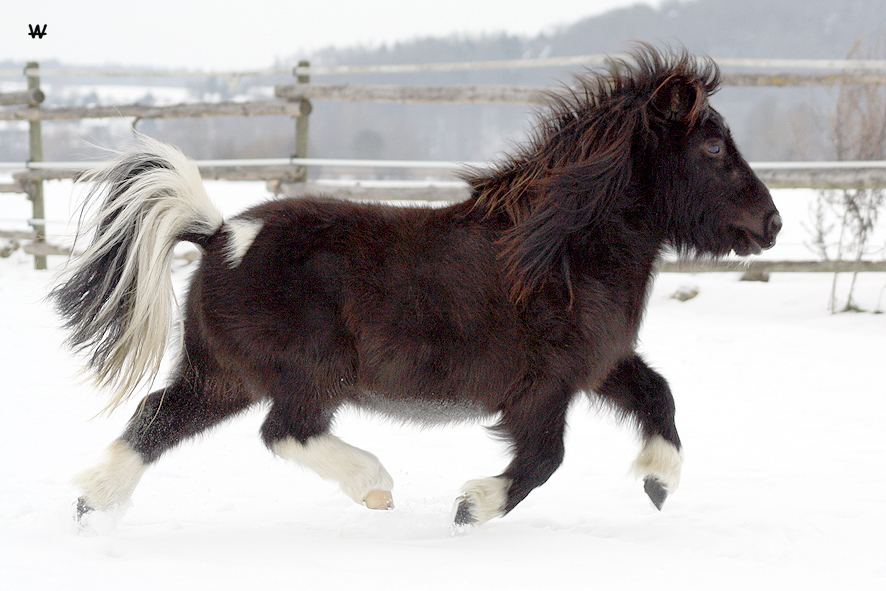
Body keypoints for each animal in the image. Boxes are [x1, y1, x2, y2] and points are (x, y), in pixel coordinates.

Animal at [53, 47, 784, 528]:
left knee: (158, 417)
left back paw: (91, 503)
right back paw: (375, 485)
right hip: (304, 370)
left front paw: (659, 484)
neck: (565, 250)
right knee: (286, 429)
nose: (772, 223)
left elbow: (659, 395)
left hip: (224, 376)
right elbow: (544, 458)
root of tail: (218, 234)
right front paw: (472, 506)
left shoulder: (599, 363)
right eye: (712, 147)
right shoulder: (545, 385)